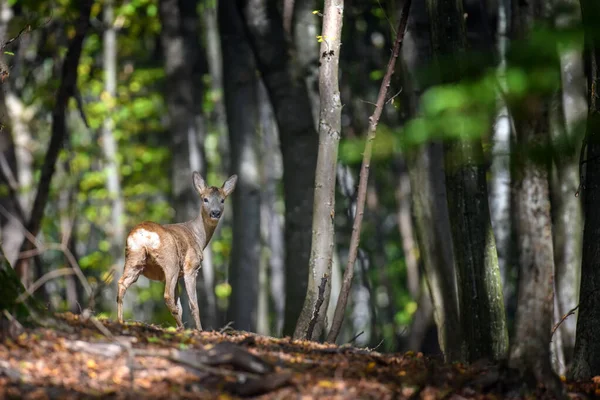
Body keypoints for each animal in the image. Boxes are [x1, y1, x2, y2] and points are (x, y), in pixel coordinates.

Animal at [117, 172, 237, 332]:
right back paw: (182, 328)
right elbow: (193, 304)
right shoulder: (191, 267)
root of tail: (143, 233)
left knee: (122, 283)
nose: (215, 213)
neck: (198, 236)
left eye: (222, 200)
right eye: (205, 199)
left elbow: (180, 305)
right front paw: (199, 330)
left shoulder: (177, 275)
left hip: (134, 258)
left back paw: (120, 321)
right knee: (167, 296)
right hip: (170, 261)